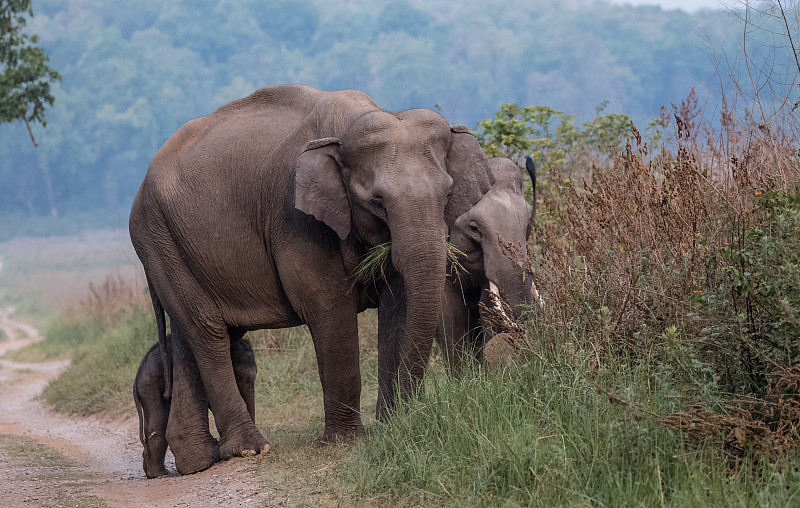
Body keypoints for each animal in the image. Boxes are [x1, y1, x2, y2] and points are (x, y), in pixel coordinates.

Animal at [132, 336, 256, 478]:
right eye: (237, 376)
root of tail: (137, 379)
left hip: (147, 389)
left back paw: (153, 472)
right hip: (151, 385)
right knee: (159, 422)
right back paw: (160, 473)